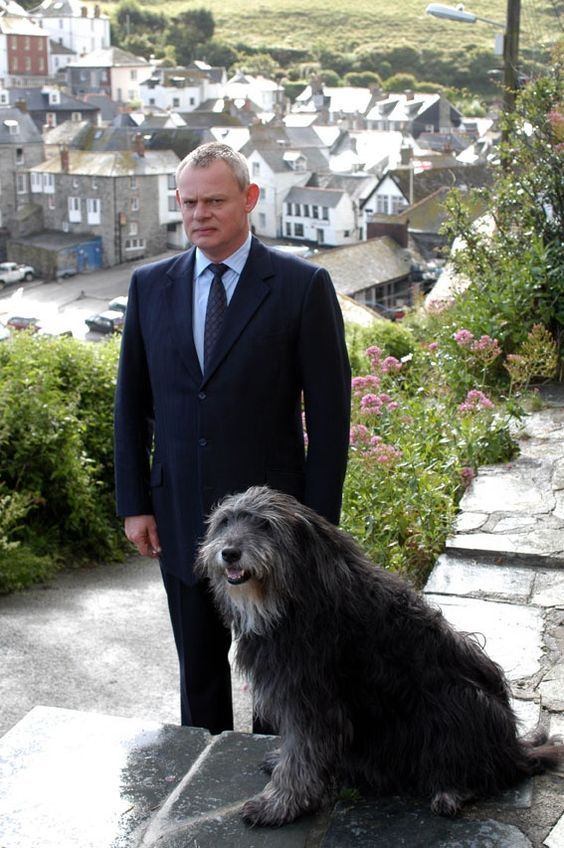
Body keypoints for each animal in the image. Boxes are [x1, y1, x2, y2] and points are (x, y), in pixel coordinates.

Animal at [195, 486, 564, 824]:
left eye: (265, 525)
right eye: (226, 522)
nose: (229, 553)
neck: (290, 596)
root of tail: (514, 749)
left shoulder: (314, 700)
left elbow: (302, 755)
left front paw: (279, 804)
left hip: (459, 700)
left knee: (484, 770)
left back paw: (453, 790)